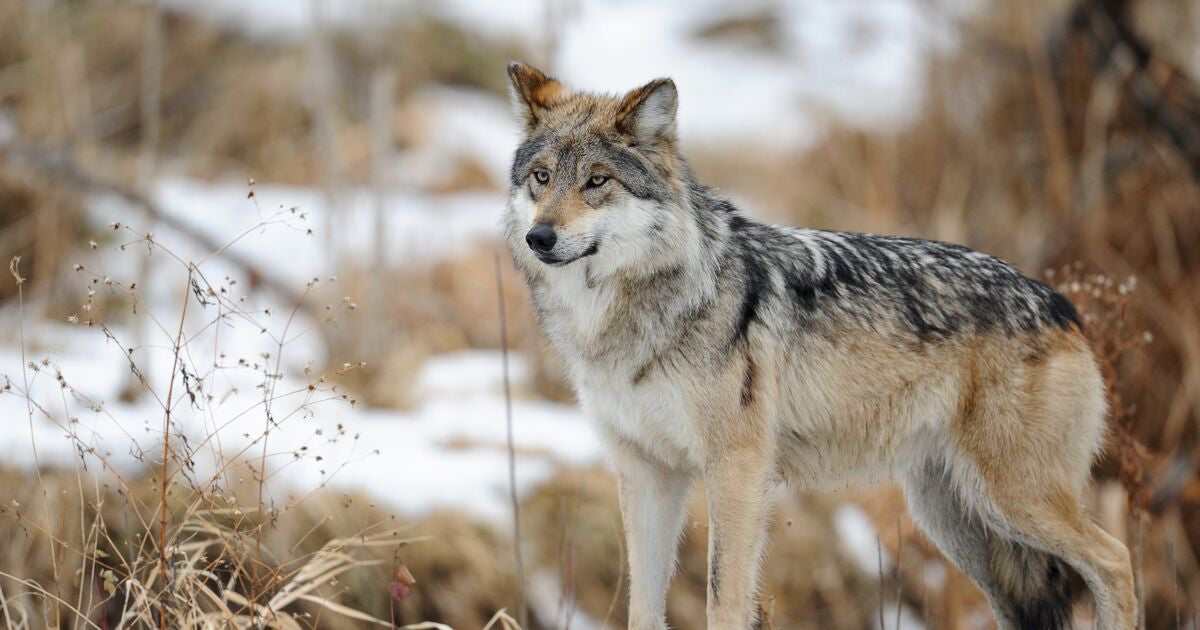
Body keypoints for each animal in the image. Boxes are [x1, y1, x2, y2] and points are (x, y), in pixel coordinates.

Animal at [501, 60, 1137, 628]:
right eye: (542, 179)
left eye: (596, 181)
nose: (540, 237)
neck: (622, 322)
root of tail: (1064, 308)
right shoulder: (646, 473)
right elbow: (641, 606)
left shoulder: (737, 468)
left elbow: (723, 600)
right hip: (957, 520)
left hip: (1012, 499)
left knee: (1116, 561)